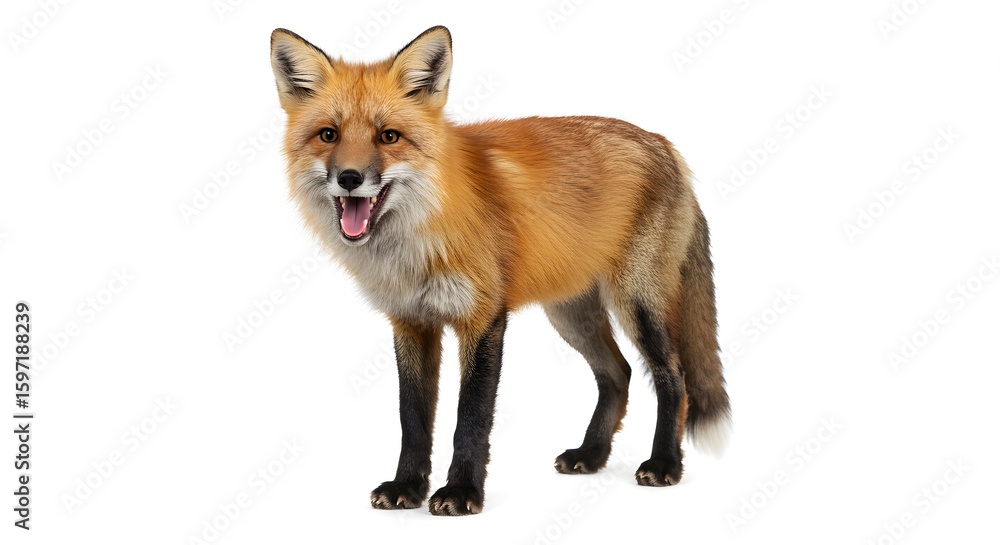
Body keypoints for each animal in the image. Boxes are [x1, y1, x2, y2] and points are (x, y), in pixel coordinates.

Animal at [269, 25, 731, 516]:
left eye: (388, 136)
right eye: (329, 134)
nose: (350, 178)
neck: (418, 239)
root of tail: (664, 143)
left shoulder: (483, 317)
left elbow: (470, 418)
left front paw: (461, 492)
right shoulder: (411, 321)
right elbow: (412, 419)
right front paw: (407, 486)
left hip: (637, 303)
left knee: (674, 378)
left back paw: (664, 463)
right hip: (571, 315)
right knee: (617, 374)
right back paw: (592, 454)